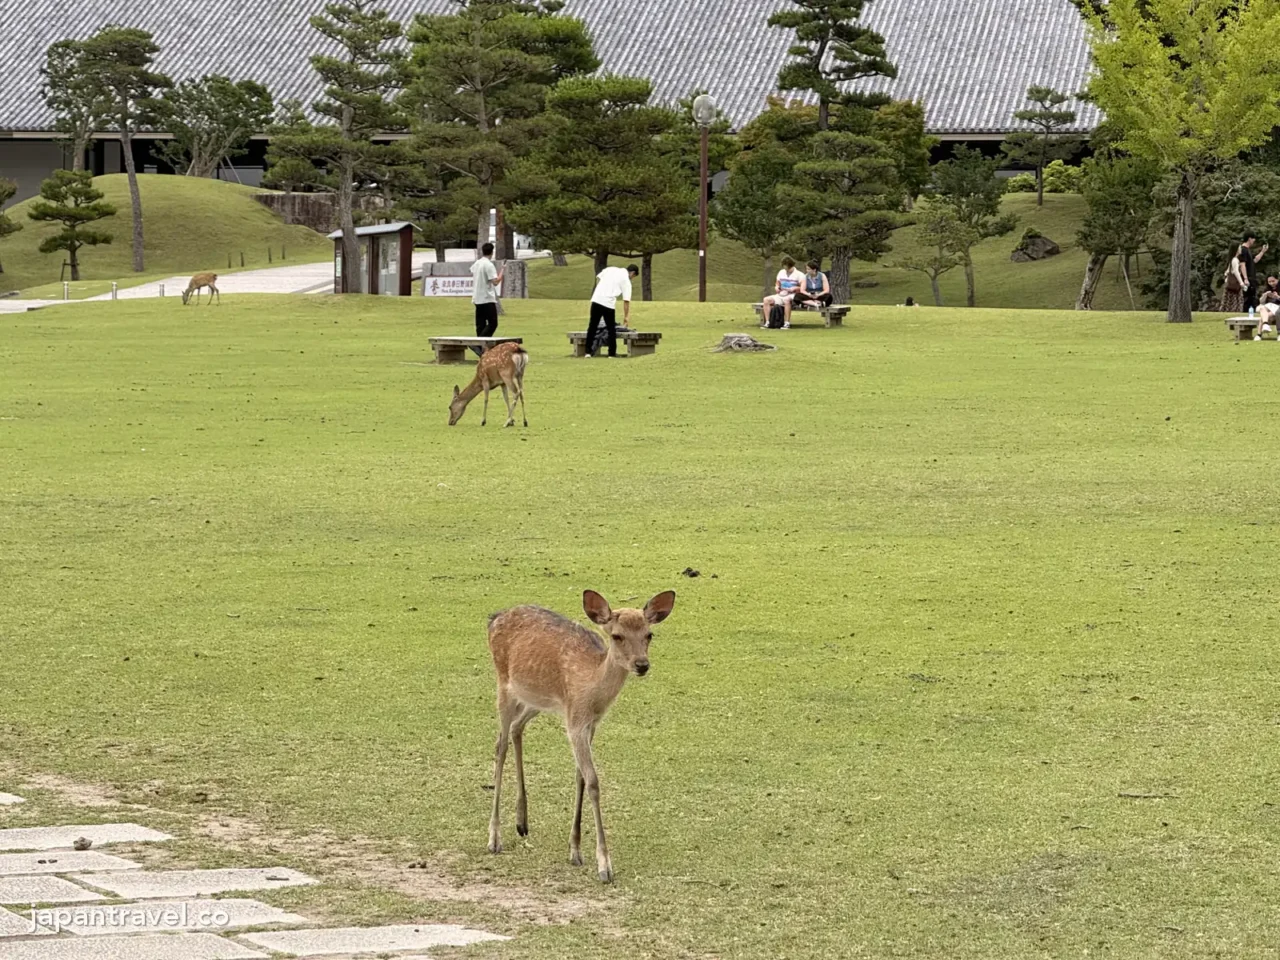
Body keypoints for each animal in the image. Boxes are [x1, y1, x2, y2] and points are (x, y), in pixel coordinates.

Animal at [486, 589, 676, 883]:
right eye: (617, 635)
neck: (592, 691)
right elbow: (594, 781)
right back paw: (495, 838)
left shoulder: (589, 723)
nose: (642, 665)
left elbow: (581, 779)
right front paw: (604, 866)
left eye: (649, 634)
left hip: (536, 699)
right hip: (504, 685)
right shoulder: (575, 721)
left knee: (517, 729)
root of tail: (494, 618)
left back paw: (522, 822)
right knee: (500, 745)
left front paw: (574, 850)